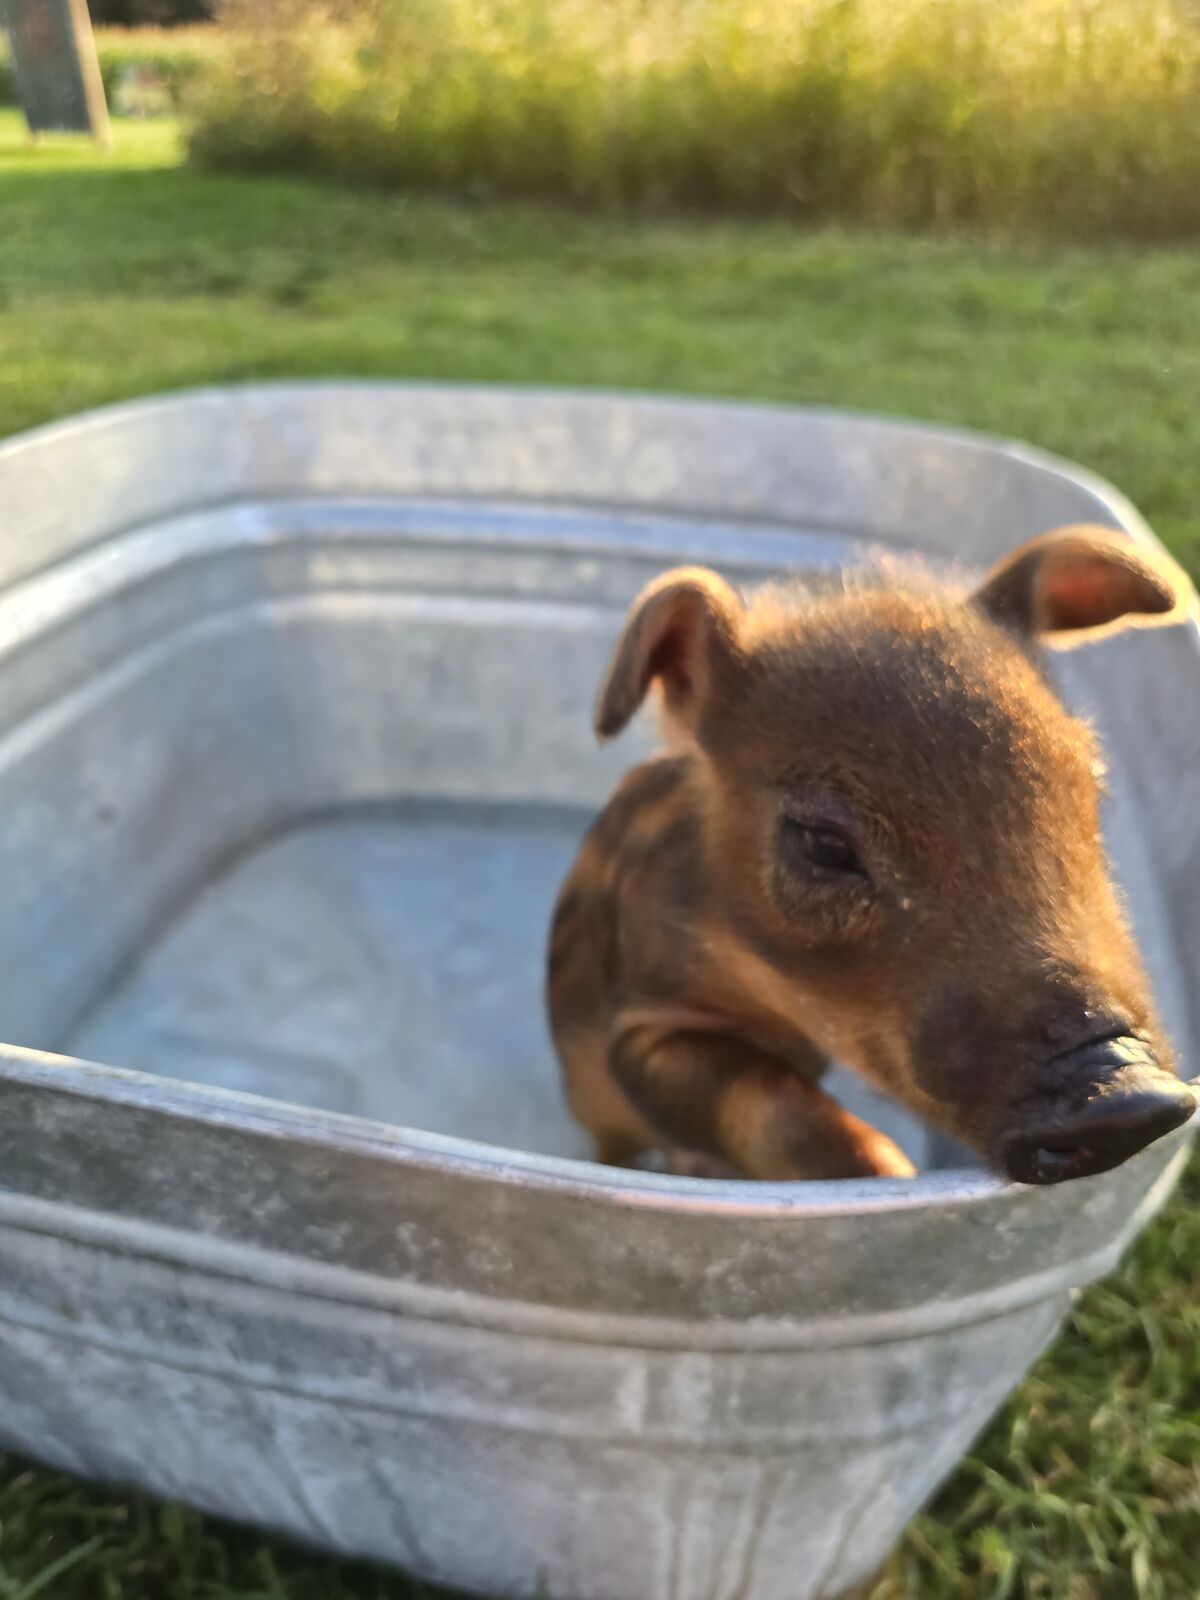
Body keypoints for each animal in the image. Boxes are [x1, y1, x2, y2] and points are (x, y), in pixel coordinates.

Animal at [546, 526, 1198, 1184]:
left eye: (1088, 782)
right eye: (823, 843)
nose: (1129, 1099)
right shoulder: (637, 1023)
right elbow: (767, 1107)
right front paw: (896, 1175)